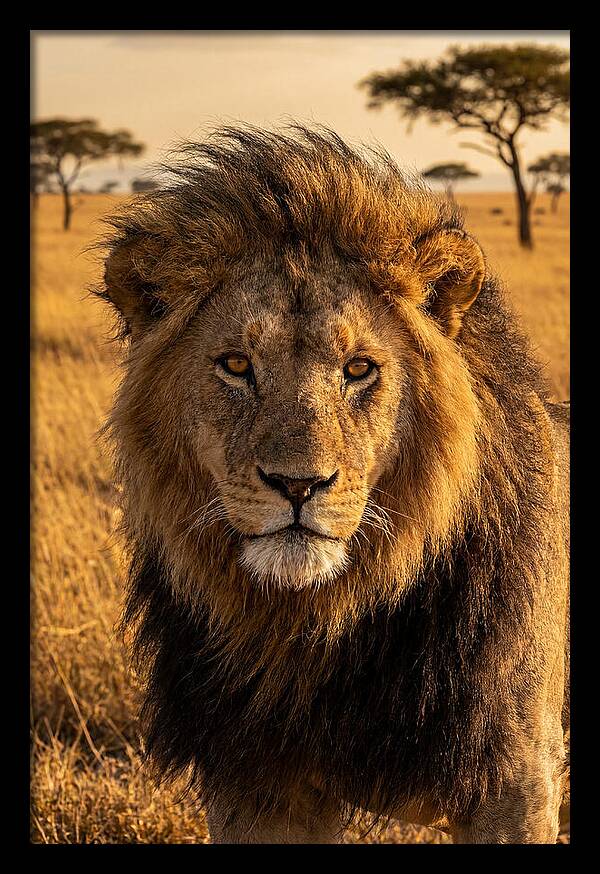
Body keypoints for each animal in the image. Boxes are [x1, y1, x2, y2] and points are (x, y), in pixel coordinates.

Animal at [97, 125, 570, 844]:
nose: (297, 485)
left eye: (359, 368)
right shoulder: (255, 783)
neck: (319, 626)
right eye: (236, 365)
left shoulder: (515, 779)